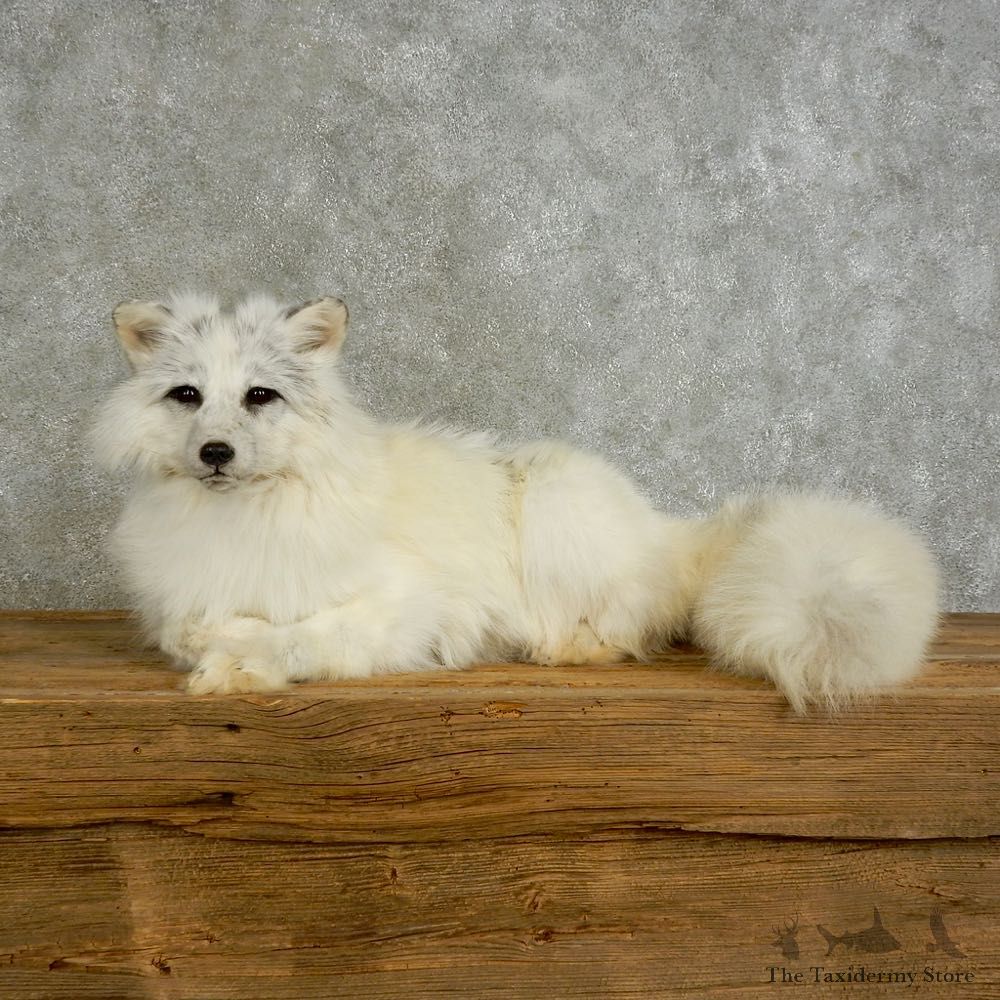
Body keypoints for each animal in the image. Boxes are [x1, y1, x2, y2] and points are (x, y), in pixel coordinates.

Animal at [93, 292, 939, 711]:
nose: (215, 453)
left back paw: (558, 645)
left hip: (555, 497)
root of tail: (665, 531)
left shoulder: (410, 606)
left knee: (626, 630)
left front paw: (244, 662)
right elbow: (197, 629)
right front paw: (221, 644)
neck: (245, 517)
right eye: (188, 396)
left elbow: (306, 637)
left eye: (259, 397)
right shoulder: (179, 605)